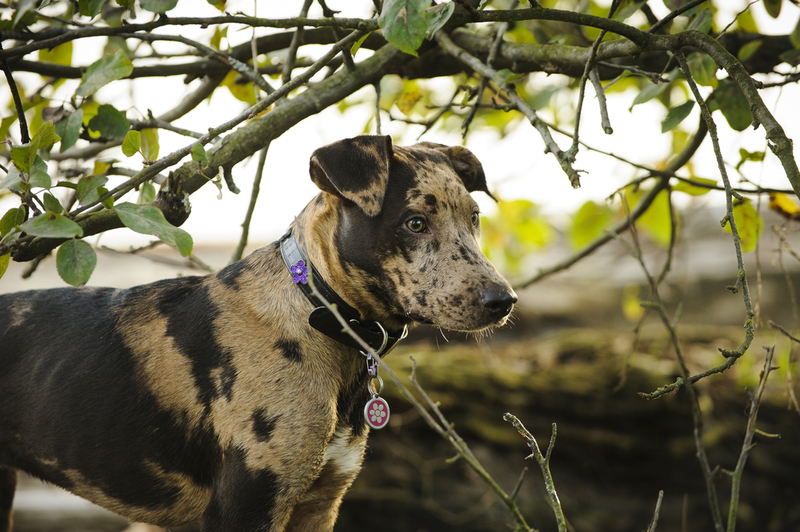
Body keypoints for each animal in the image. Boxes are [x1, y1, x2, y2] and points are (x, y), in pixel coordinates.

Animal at [0, 136, 520, 532]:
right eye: (415, 223)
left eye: (474, 218)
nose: (504, 301)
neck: (316, 315)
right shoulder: (247, 505)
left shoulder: (320, 503)